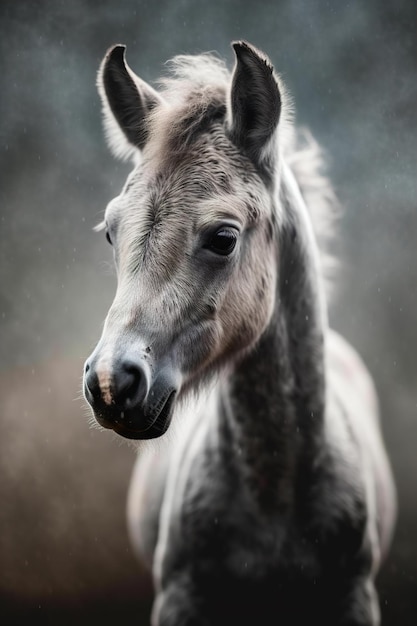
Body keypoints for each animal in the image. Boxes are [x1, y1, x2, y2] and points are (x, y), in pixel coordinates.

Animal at [83, 41, 394, 620]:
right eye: (111, 231)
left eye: (224, 238)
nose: (112, 382)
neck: (273, 499)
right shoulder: (179, 597)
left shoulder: (353, 597)